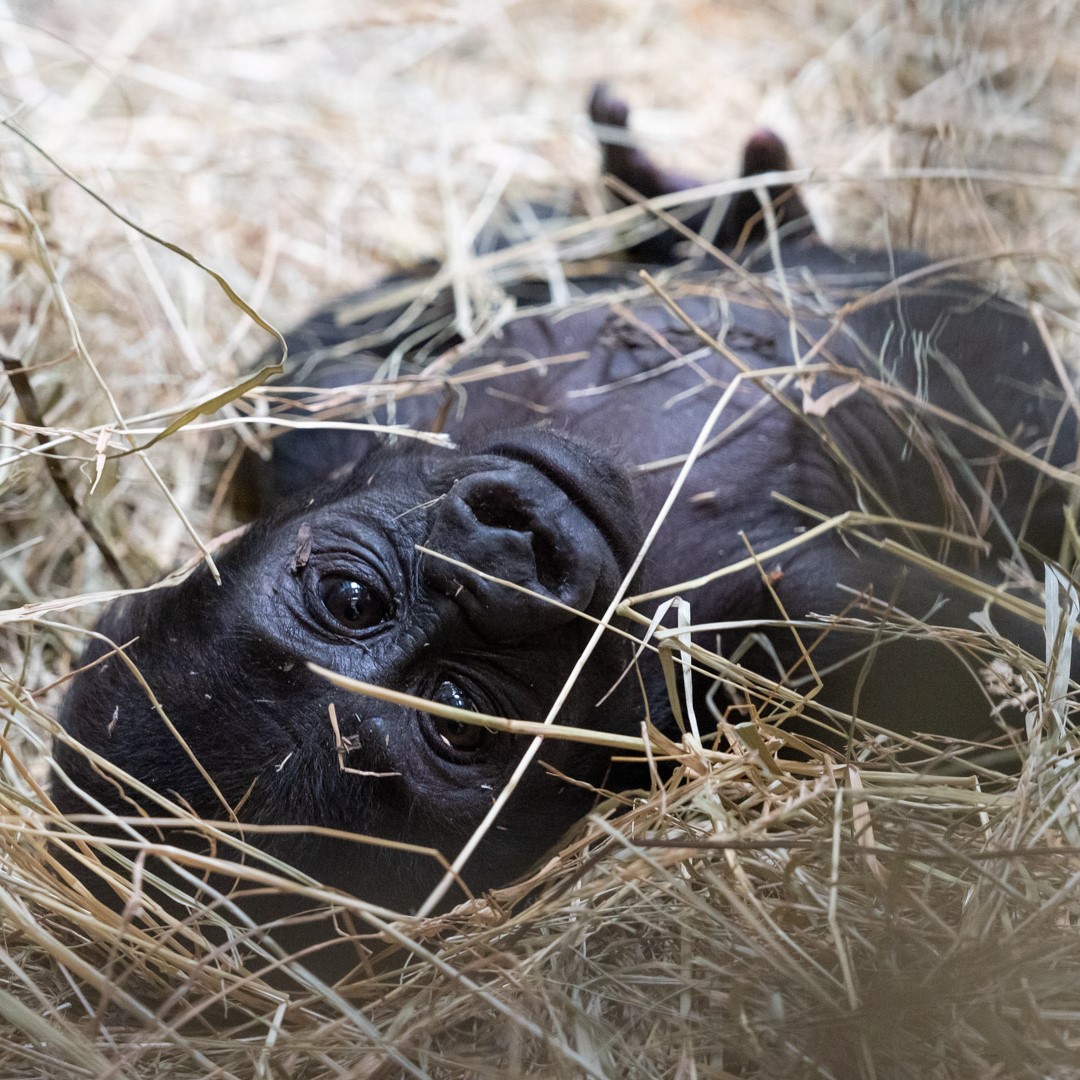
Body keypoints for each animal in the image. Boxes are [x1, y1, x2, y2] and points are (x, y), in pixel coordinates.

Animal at [52, 84, 1080, 946]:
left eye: (349, 597)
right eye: (461, 721)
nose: (515, 550)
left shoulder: (301, 428)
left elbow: (322, 347)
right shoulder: (802, 646)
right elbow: (999, 681)